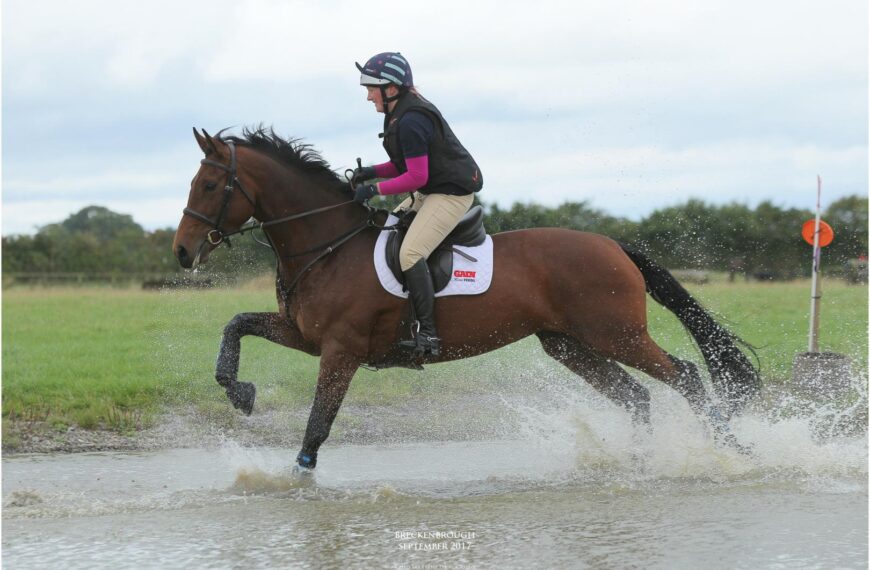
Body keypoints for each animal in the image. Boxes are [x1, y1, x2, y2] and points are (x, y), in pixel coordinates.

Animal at [173, 127, 761, 470]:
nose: (182, 252)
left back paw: (734, 450)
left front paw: (297, 478)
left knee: (684, 376)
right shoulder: (306, 336)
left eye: (209, 186)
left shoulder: (341, 351)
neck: (328, 245)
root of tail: (613, 244)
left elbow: (320, 420)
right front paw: (238, 390)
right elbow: (237, 323)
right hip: (567, 344)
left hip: (616, 334)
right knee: (637, 395)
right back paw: (636, 461)